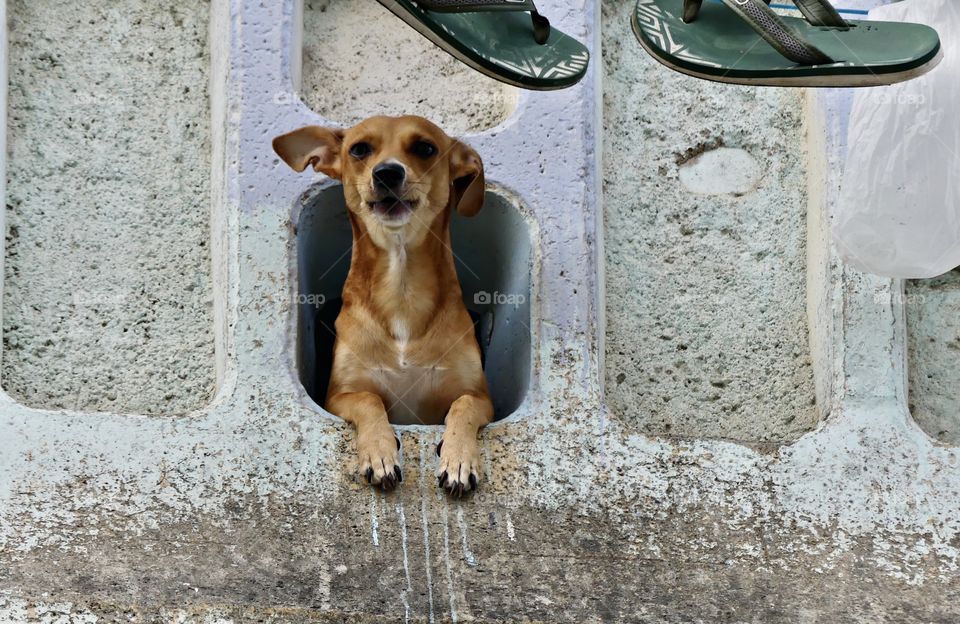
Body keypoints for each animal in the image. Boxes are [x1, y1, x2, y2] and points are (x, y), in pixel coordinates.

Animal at [272, 116, 492, 498]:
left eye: (425, 148)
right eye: (359, 149)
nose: (387, 172)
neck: (401, 287)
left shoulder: (482, 397)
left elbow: (463, 405)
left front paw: (459, 459)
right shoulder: (339, 396)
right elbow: (369, 400)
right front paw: (380, 452)